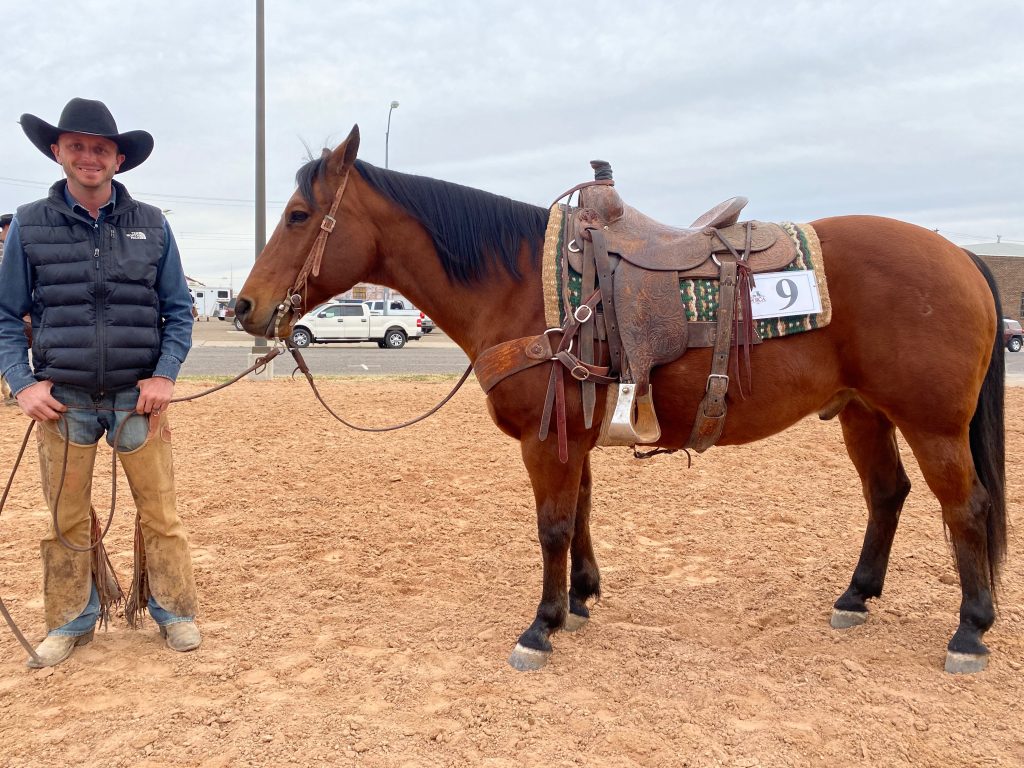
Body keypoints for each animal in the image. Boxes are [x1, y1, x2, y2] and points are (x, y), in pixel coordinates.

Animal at [236, 126, 1006, 674]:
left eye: (299, 215)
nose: (245, 307)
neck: (520, 283)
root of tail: (961, 256)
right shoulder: (571, 435)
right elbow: (579, 513)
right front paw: (578, 599)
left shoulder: (544, 440)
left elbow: (551, 525)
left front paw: (540, 625)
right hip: (862, 412)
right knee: (888, 494)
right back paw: (856, 597)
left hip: (931, 423)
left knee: (964, 507)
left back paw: (969, 630)